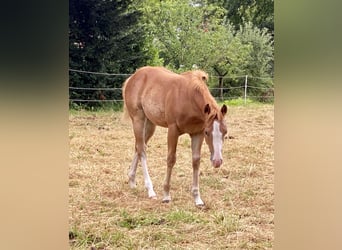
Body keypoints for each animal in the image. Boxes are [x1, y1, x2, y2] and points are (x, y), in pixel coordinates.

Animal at [122, 66, 227, 205]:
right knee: (142, 150)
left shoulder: (196, 133)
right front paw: (166, 195)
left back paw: (132, 181)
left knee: (138, 147)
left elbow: (196, 161)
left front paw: (197, 198)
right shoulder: (173, 130)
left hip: (150, 124)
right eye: (207, 132)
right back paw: (150, 190)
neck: (189, 97)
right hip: (138, 119)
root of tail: (132, 78)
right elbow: (171, 159)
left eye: (225, 132)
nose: (217, 161)